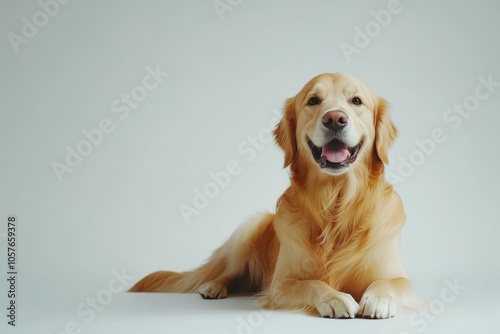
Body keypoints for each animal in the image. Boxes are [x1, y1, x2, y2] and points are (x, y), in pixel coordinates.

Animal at [130, 72, 422, 318]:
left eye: (357, 101)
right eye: (313, 100)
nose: (335, 119)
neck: (335, 203)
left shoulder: (398, 276)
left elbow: (390, 283)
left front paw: (378, 299)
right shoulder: (281, 284)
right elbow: (312, 283)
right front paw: (334, 298)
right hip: (245, 233)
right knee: (227, 273)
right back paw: (213, 286)